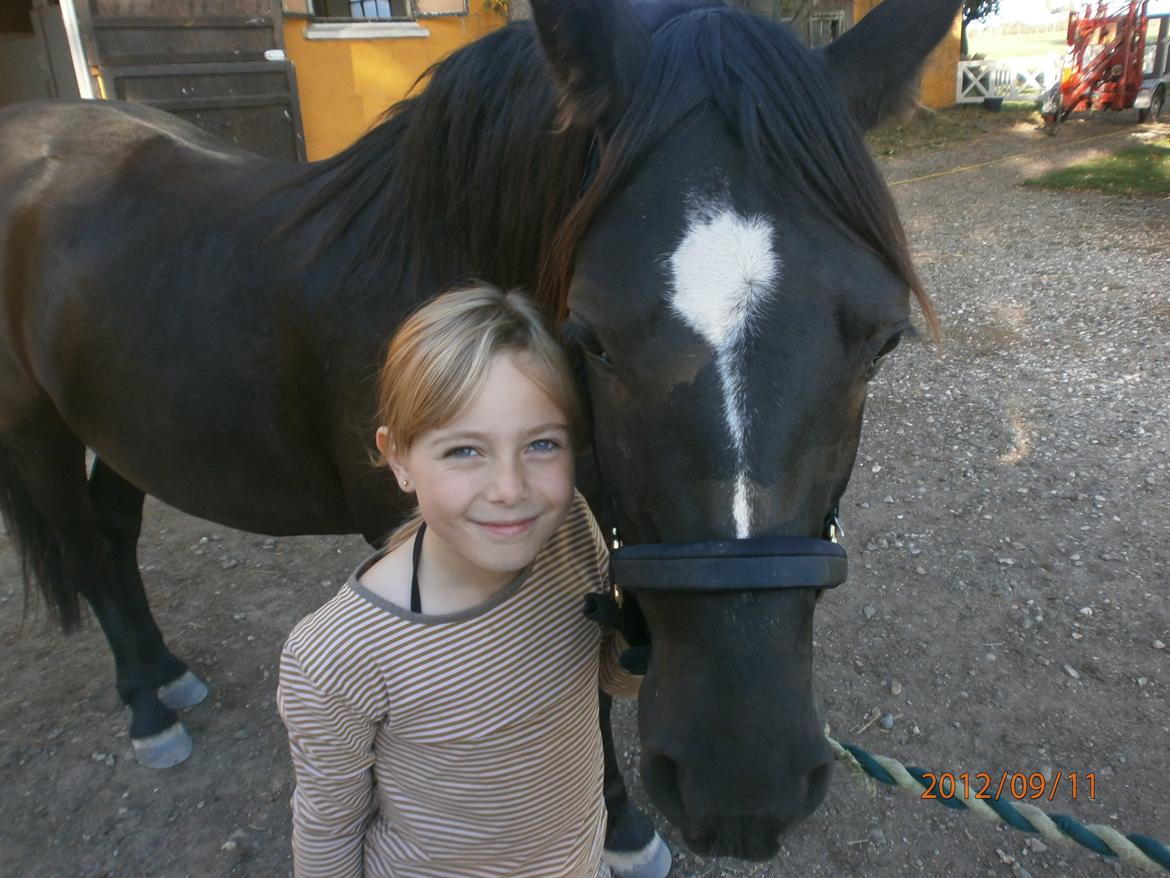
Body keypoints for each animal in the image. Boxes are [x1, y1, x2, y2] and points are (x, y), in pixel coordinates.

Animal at [2, 0, 959, 866]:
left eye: (883, 340)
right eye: (590, 338)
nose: (743, 787)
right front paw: (619, 827)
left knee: (114, 535)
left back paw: (165, 672)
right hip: (34, 430)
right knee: (86, 552)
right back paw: (146, 705)